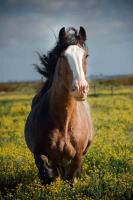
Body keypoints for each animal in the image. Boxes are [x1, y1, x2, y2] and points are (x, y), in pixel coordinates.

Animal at [24, 26, 93, 184]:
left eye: (86, 56)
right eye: (62, 56)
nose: (80, 88)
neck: (64, 123)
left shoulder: (77, 157)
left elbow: (71, 178)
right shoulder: (40, 153)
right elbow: (45, 169)